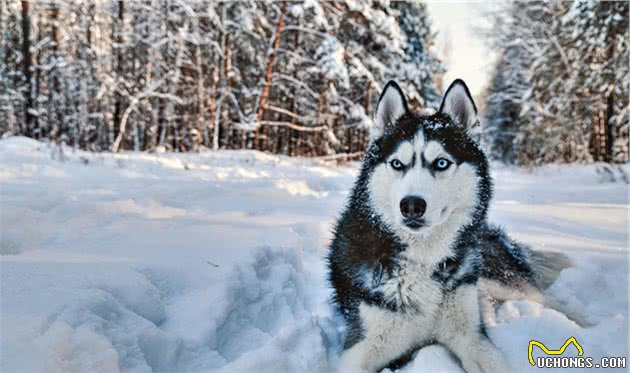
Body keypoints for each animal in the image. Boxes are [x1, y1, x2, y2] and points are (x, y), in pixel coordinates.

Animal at [328, 80, 576, 370]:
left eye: (441, 163)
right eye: (397, 164)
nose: (411, 205)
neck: (423, 260)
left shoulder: (472, 337)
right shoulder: (360, 348)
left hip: (495, 276)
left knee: (546, 298)